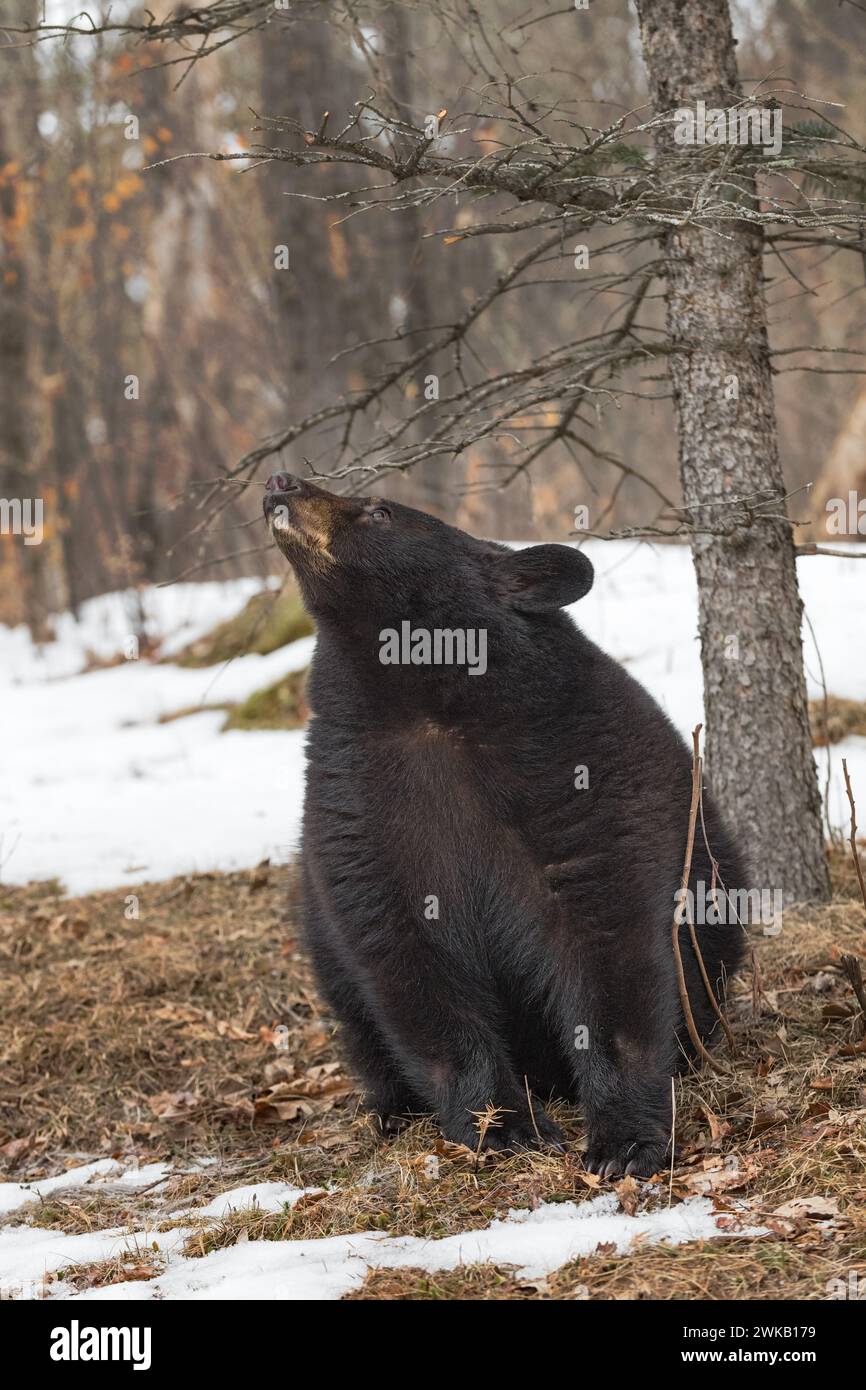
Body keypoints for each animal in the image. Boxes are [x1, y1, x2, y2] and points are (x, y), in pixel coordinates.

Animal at [264, 475, 745, 1173]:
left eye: (381, 510)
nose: (281, 482)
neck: (423, 699)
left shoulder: (575, 770)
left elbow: (609, 934)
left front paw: (625, 1139)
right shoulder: (356, 799)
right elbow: (405, 958)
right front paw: (504, 1126)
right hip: (325, 957)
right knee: (359, 1021)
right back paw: (390, 1109)